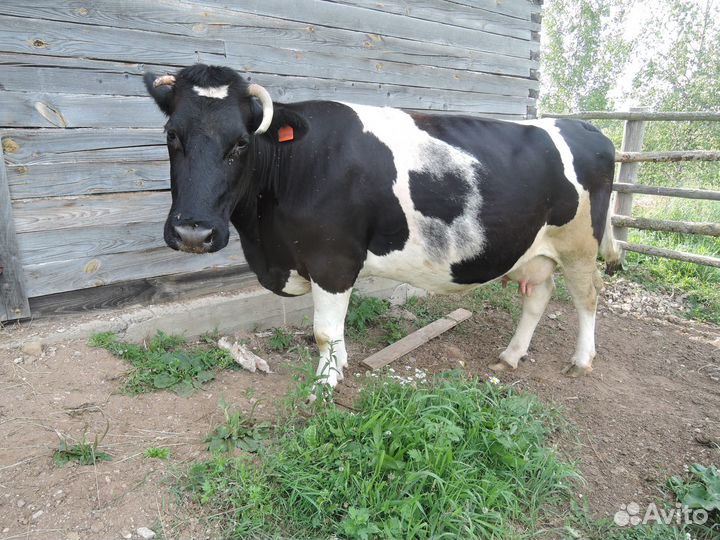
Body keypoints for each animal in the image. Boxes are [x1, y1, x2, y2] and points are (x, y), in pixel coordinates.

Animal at [144, 64, 619, 387]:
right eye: (172, 135)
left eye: (241, 142)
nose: (192, 233)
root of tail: (584, 125)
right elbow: (330, 333)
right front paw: (334, 371)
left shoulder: (333, 259)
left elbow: (324, 333)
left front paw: (324, 386)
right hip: (535, 247)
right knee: (539, 295)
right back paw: (511, 355)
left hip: (579, 244)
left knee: (588, 296)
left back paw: (581, 360)